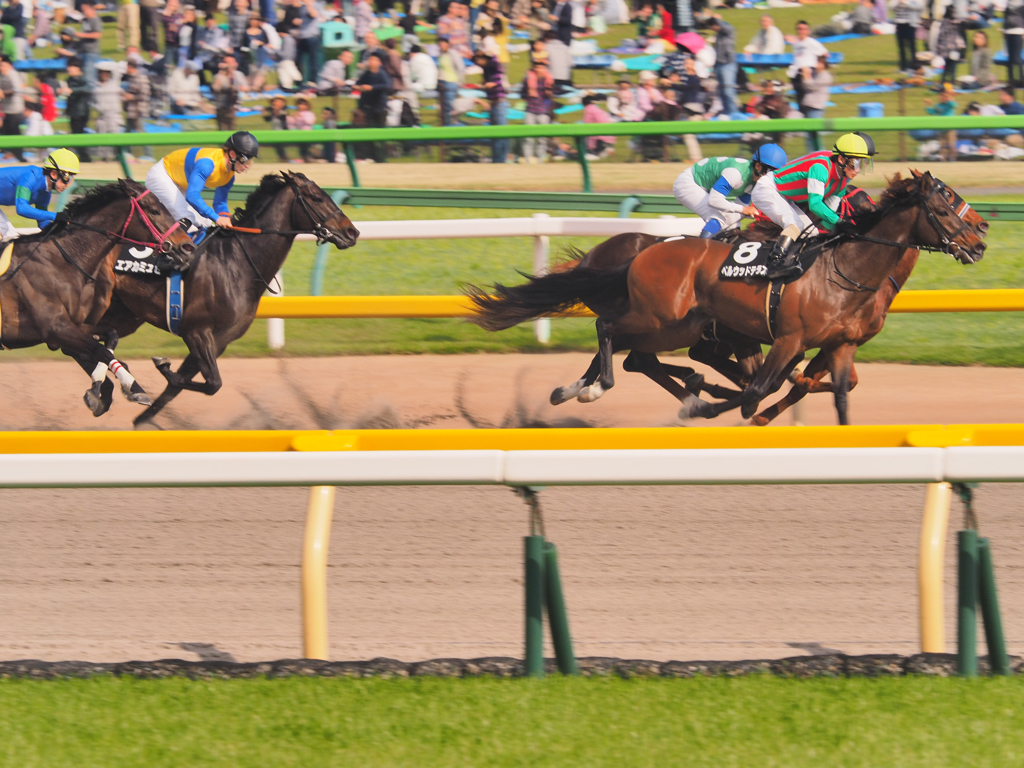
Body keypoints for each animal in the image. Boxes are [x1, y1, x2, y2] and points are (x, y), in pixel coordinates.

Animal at [0, 180, 193, 415]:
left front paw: (103, 389)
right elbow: (100, 350)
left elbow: (110, 337)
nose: (187, 246)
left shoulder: (73, 325)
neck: (60, 260)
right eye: (154, 210)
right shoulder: (54, 328)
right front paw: (130, 388)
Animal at [92, 171, 362, 428]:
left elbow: (184, 386)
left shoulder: (219, 340)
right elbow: (211, 383)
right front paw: (159, 368)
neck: (235, 263)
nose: (352, 232)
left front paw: (141, 418)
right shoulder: (197, 332)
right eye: (317, 197)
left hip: (126, 316)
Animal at [468, 171, 987, 428]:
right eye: (943, 207)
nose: (980, 237)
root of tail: (638, 251)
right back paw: (600, 389)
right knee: (614, 339)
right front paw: (727, 407)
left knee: (634, 356)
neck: (847, 270)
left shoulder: (838, 343)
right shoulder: (785, 338)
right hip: (661, 318)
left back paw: (583, 389)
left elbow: (835, 390)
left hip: (675, 325)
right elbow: (761, 390)